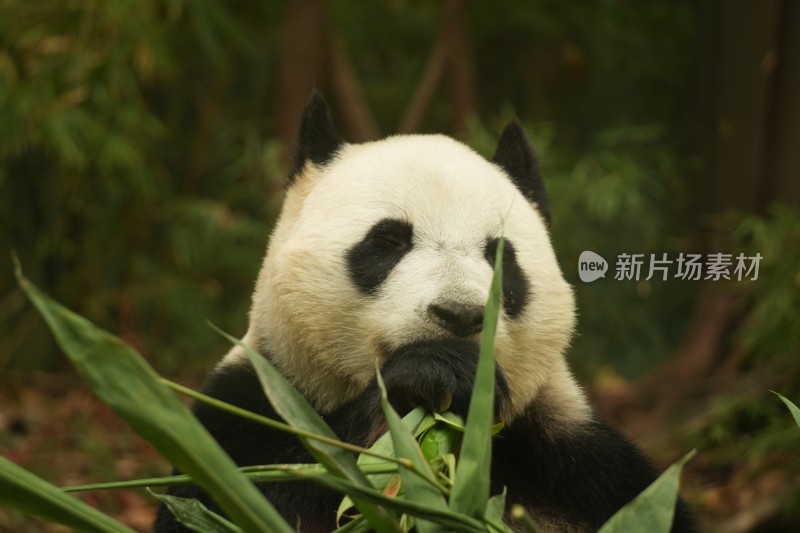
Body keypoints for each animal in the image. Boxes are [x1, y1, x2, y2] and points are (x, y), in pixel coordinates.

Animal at [153, 92, 696, 532]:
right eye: (388, 241)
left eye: (499, 257)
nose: (459, 315)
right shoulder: (258, 401)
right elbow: (236, 496)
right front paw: (429, 373)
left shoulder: (573, 458)